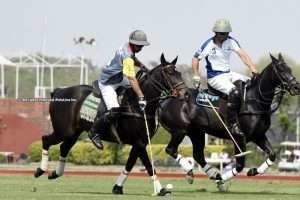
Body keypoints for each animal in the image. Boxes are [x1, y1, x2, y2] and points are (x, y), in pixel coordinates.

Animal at [34, 54, 186, 196]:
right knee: (46, 139)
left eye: (179, 73)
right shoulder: (140, 142)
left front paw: (117, 187)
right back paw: (40, 170)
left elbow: (130, 164)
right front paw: (161, 190)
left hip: (74, 132)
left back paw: (55, 173)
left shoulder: (139, 143)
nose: (184, 94)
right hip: (64, 130)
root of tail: (58, 91)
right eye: (169, 73)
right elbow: (149, 166)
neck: (139, 106)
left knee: (64, 147)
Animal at [158, 53, 300, 189]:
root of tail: (164, 101)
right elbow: (240, 165)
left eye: (290, 69)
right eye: (281, 70)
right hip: (180, 130)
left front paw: (252, 171)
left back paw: (213, 174)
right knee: (171, 149)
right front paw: (222, 180)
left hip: (196, 133)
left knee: (198, 155)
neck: (254, 101)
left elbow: (272, 154)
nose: (296, 87)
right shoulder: (238, 138)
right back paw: (192, 173)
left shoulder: (258, 135)